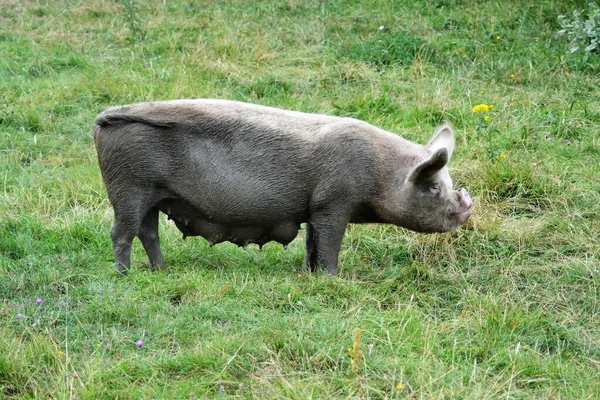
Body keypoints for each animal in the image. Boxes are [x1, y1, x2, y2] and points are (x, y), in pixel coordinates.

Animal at [94, 99, 472, 276]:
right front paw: (333, 278)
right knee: (121, 232)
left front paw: (309, 273)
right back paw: (124, 275)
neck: (381, 172)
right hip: (129, 187)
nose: (466, 210)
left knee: (148, 232)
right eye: (433, 187)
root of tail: (103, 118)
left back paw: (160, 270)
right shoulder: (334, 203)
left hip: (152, 195)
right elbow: (330, 244)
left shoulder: (314, 209)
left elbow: (312, 243)